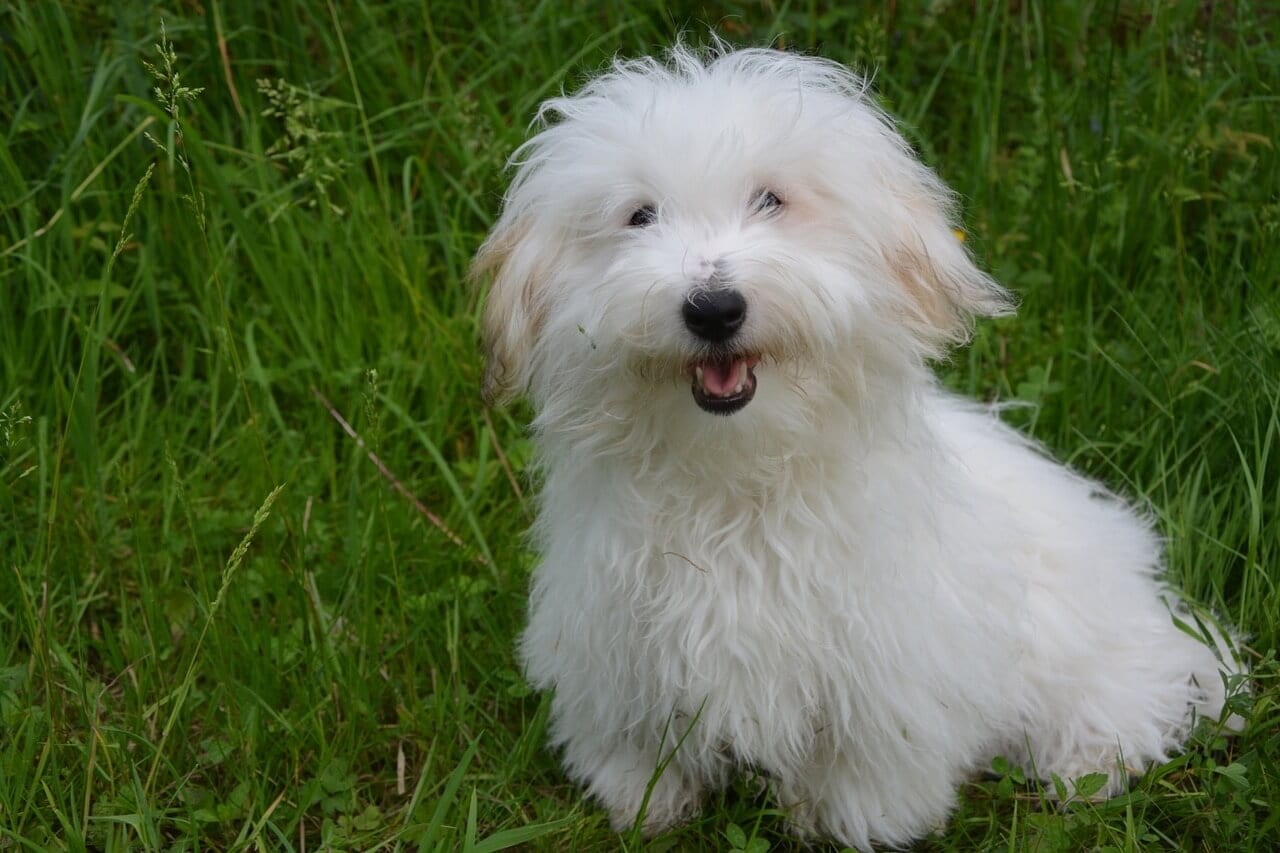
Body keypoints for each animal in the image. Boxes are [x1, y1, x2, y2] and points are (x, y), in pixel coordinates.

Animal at [471, 44, 1239, 845]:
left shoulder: (884, 670)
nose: (713, 307)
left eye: (771, 201)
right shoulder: (614, 646)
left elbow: (867, 766)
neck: (734, 478)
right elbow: (637, 742)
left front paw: (845, 821)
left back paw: (1088, 764)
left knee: (1134, 693)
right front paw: (644, 800)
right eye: (639, 215)